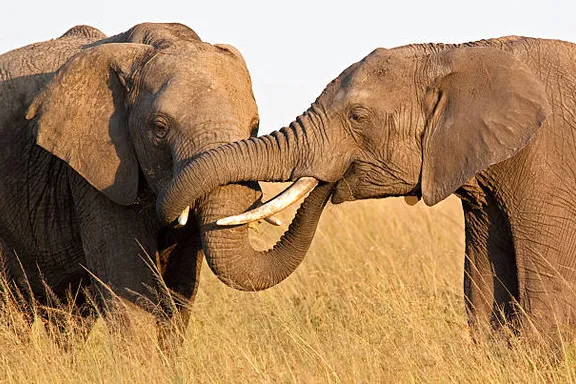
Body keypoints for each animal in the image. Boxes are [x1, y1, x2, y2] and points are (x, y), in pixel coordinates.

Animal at [159, 36, 576, 342]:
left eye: (358, 116)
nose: (330, 179)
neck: (460, 54)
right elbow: (483, 293)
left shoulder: (545, 163)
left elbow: (545, 297)